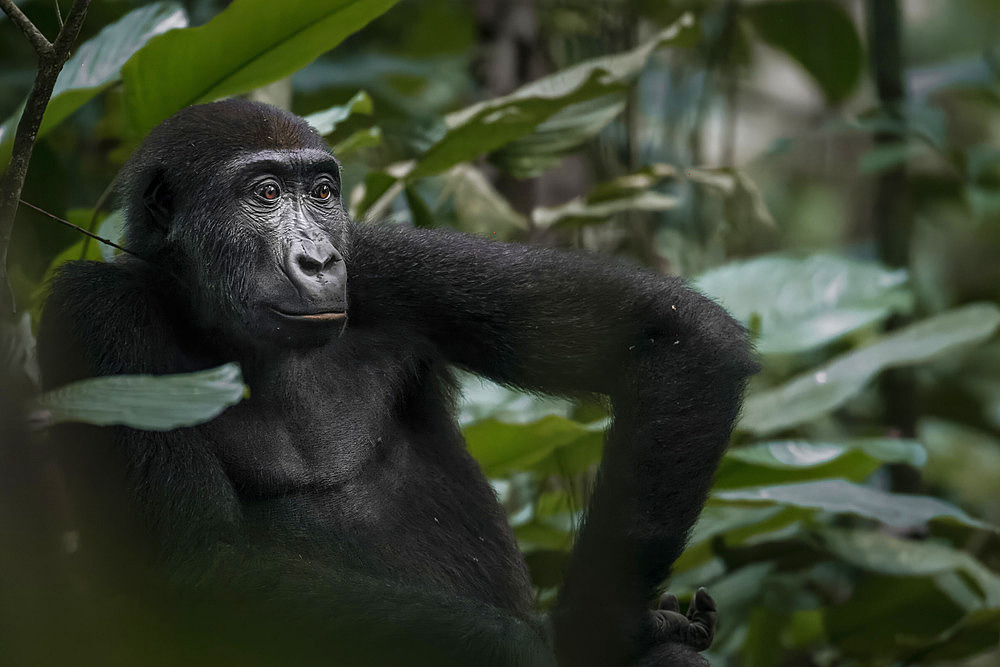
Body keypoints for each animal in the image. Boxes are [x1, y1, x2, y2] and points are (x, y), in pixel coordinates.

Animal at [39, 100, 752, 667]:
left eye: (322, 193)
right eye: (264, 194)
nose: (319, 260)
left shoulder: (384, 261)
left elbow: (671, 336)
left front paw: (605, 624)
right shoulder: (96, 315)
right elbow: (204, 566)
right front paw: (560, 640)